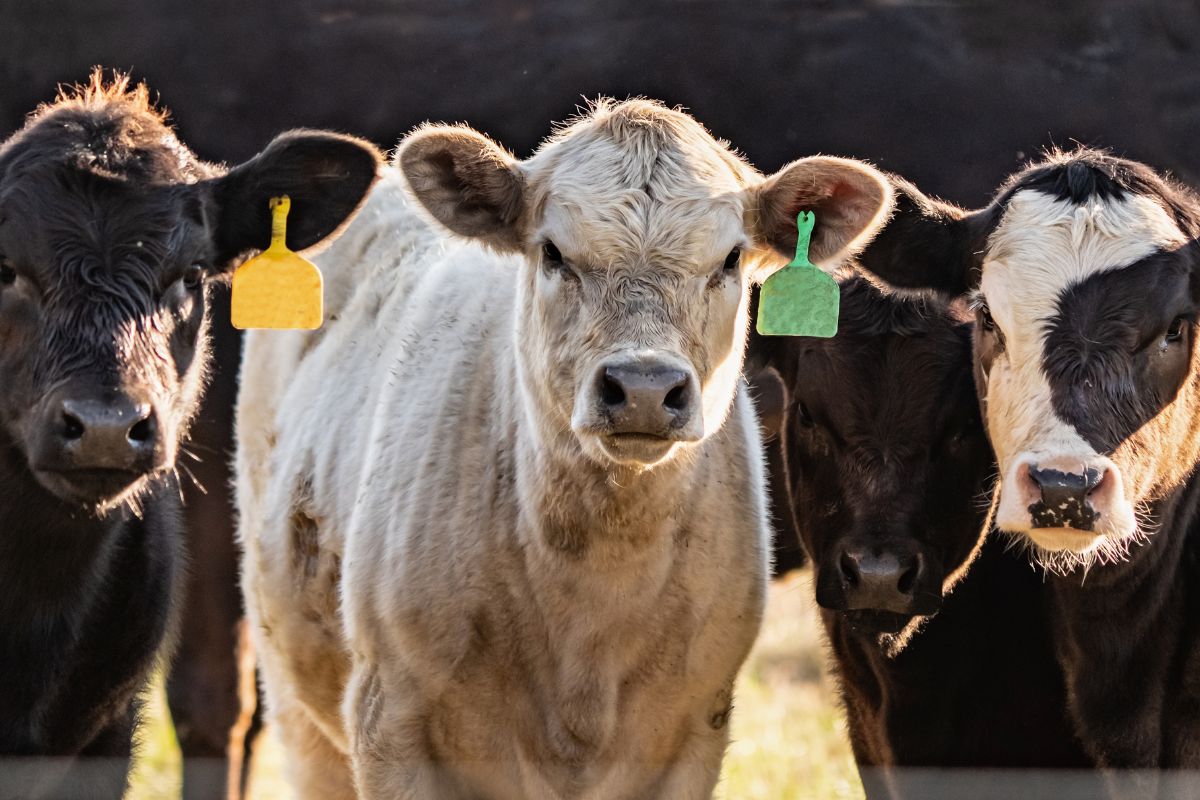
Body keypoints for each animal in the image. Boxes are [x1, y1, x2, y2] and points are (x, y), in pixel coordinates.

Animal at [235, 99, 895, 799]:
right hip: (295, 701)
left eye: (730, 260)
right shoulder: (389, 720)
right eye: (553, 251)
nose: (643, 387)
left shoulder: (695, 729)